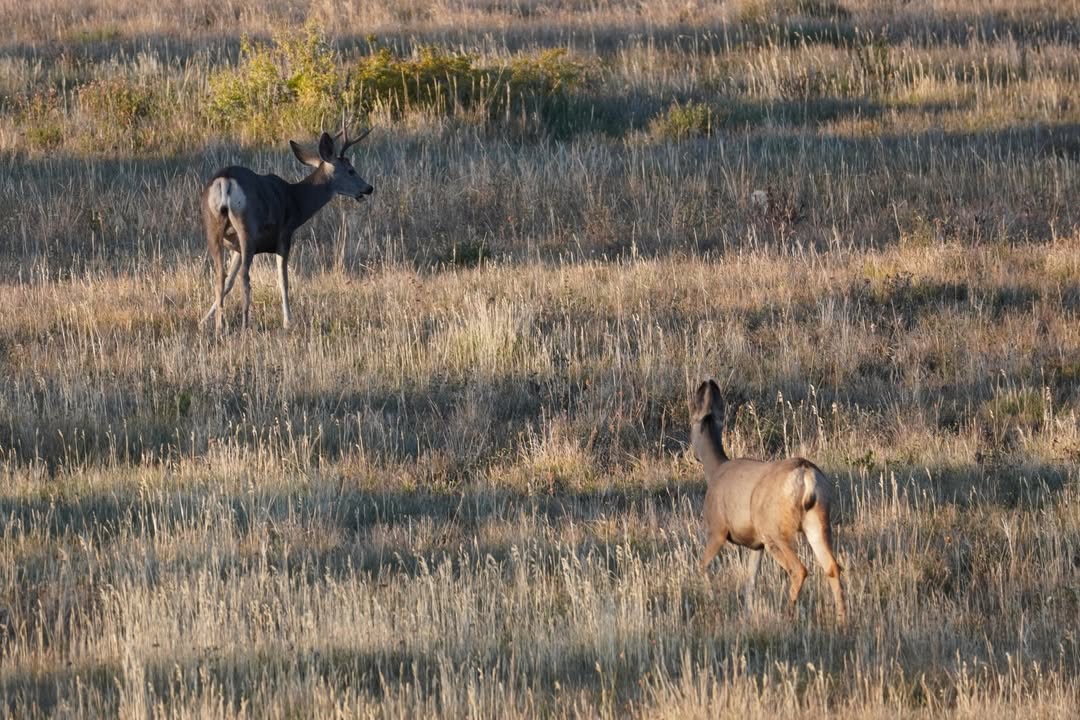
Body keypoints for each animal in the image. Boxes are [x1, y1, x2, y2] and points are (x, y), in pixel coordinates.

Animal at [200, 125, 373, 332]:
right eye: (350, 170)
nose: (368, 188)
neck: (295, 201)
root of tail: (225, 181)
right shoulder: (284, 235)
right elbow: (283, 281)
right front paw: (288, 321)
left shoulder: (235, 247)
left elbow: (228, 282)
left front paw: (204, 320)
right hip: (247, 226)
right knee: (245, 276)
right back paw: (245, 323)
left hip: (212, 225)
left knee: (220, 275)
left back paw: (220, 326)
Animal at [689, 379, 847, 624]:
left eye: (690, 425)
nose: (693, 453)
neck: (715, 472)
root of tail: (806, 475)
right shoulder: (756, 544)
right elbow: (751, 580)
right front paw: (747, 614)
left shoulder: (717, 529)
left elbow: (703, 565)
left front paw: (713, 605)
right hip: (818, 520)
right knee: (832, 566)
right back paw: (842, 619)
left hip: (775, 529)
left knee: (799, 569)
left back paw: (788, 616)